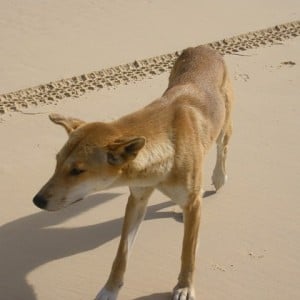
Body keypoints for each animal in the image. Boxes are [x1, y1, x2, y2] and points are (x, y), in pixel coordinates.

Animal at [33, 45, 234, 300]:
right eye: (57, 162)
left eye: (77, 171)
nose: (37, 200)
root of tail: (204, 47)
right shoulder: (137, 199)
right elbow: (122, 253)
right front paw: (110, 289)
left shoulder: (189, 203)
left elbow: (188, 253)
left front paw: (185, 286)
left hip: (225, 125)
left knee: (221, 149)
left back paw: (218, 176)